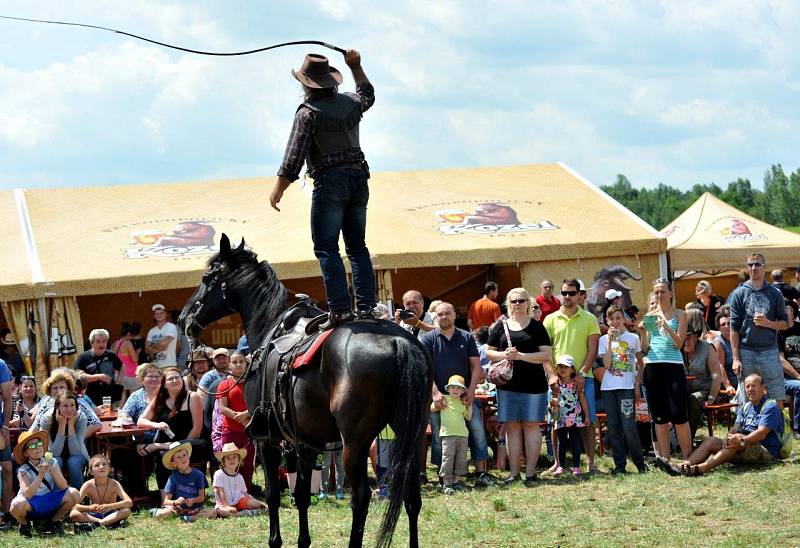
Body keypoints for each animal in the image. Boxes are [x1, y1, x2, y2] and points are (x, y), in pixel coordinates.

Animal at [179, 237, 434, 548]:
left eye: (207, 278)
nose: (183, 319)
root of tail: (400, 342)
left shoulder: (266, 440)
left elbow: (274, 495)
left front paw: (275, 540)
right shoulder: (305, 441)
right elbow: (301, 494)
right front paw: (303, 540)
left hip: (356, 442)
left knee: (361, 499)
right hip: (412, 432)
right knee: (411, 497)